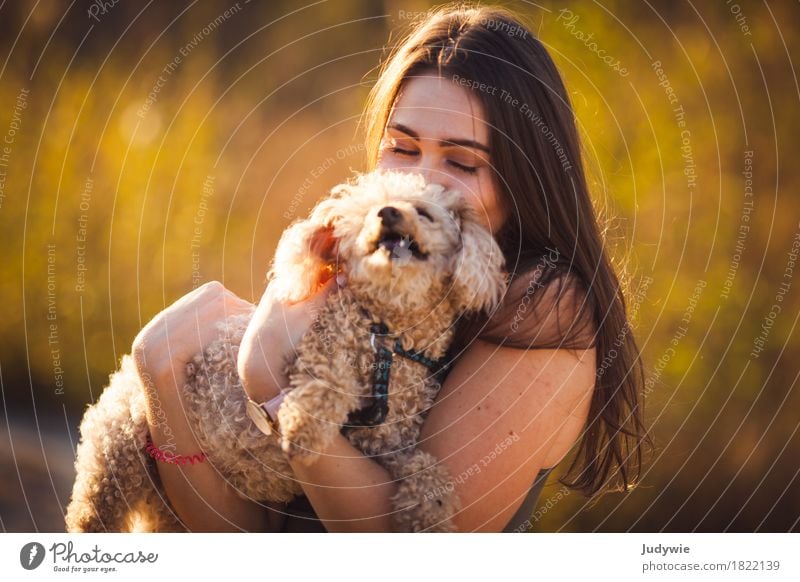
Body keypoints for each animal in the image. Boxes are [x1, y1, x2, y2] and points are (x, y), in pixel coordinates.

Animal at [69, 169, 506, 532]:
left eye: (423, 213)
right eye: (366, 213)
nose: (387, 213)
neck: (387, 336)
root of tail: (123, 373)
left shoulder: (384, 444)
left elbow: (422, 467)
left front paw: (431, 510)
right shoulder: (319, 345)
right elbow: (324, 383)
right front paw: (302, 428)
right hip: (116, 450)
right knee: (90, 511)